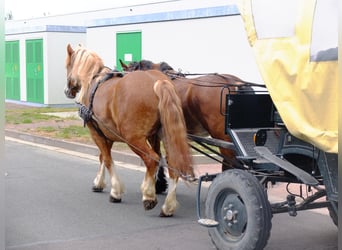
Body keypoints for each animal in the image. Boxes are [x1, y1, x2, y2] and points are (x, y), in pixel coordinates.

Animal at [63, 45, 192, 217]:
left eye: (67, 65)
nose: (67, 91)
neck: (94, 80)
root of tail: (158, 82)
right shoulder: (110, 133)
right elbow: (102, 157)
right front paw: (99, 183)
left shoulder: (96, 132)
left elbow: (107, 160)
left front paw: (115, 191)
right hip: (164, 135)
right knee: (171, 162)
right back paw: (168, 206)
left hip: (133, 139)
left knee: (151, 159)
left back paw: (148, 197)